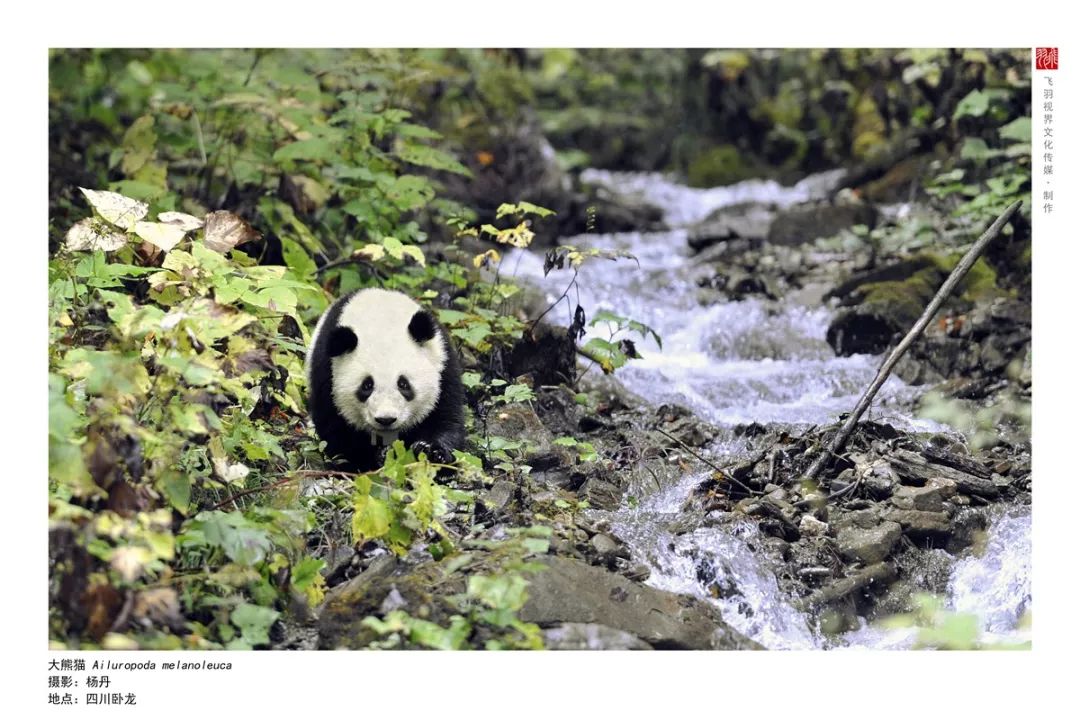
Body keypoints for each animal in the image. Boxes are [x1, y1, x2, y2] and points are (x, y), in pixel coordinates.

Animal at [308, 287, 468, 472]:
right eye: (367, 385)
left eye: (403, 384)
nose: (386, 419)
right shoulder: (326, 374)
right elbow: (336, 430)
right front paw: (371, 460)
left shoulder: (444, 367)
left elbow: (446, 418)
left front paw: (431, 451)